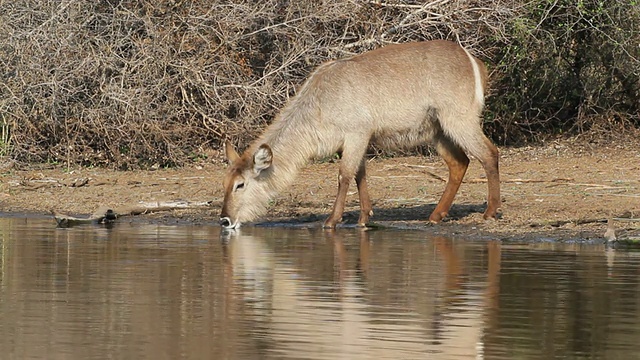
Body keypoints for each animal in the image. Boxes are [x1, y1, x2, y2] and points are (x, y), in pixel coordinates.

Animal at [220, 40, 500, 231]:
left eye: (240, 184)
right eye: (225, 183)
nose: (224, 220)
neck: (319, 100)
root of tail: (473, 61)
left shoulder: (356, 133)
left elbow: (344, 175)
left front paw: (332, 220)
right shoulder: (355, 139)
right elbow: (359, 174)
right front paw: (365, 218)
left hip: (459, 120)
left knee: (489, 153)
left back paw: (490, 212)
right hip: (437, 130)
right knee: (459, 163)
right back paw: (435, 215)